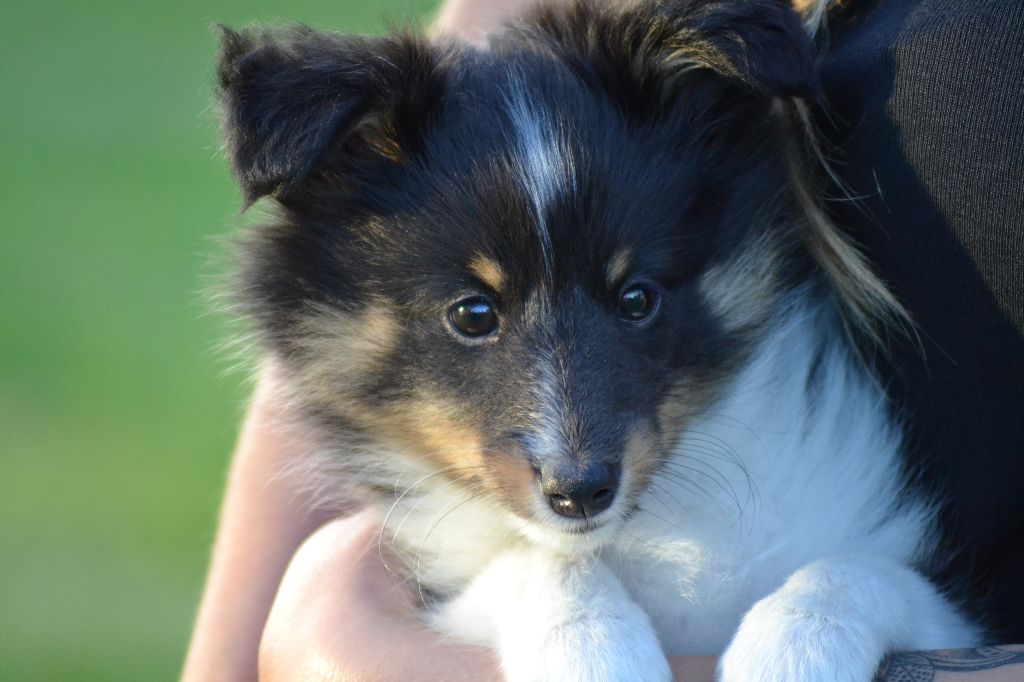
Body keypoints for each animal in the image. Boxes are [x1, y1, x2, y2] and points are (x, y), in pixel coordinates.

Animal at [218, 2, 983, 675]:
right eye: (473, 314)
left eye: (637, 298)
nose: (579, 493)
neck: (656, 525)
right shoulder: (449, 585)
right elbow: (537, 561)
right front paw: (590, 651)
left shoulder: (949, 621)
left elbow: (858, 573)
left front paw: (793, 651)